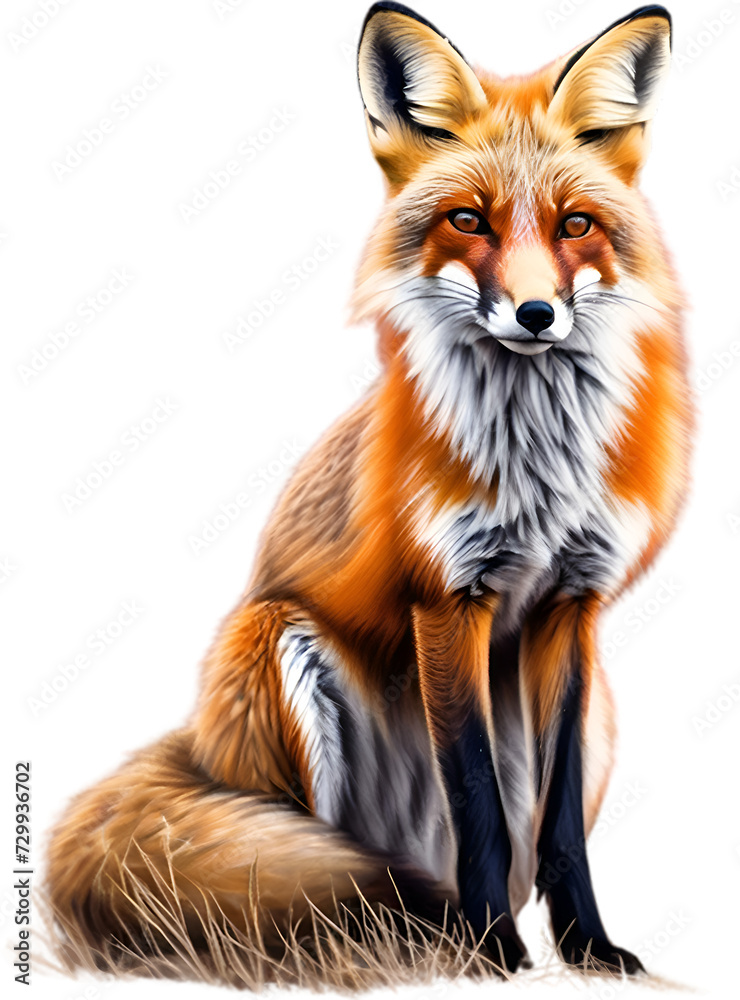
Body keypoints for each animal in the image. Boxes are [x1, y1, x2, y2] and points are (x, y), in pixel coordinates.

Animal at [46, 1, 692, 979]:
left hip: (600, 709)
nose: (536, 315)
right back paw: (403, 938)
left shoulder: (571, 606)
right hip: (274, 651)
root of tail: (191, 747)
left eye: (576, 225)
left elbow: (557, 826)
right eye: (468, 220)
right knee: (305, 869)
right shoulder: (448, 598)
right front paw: (496, 953)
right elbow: (479, 808)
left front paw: (588, 948)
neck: (538, 464)